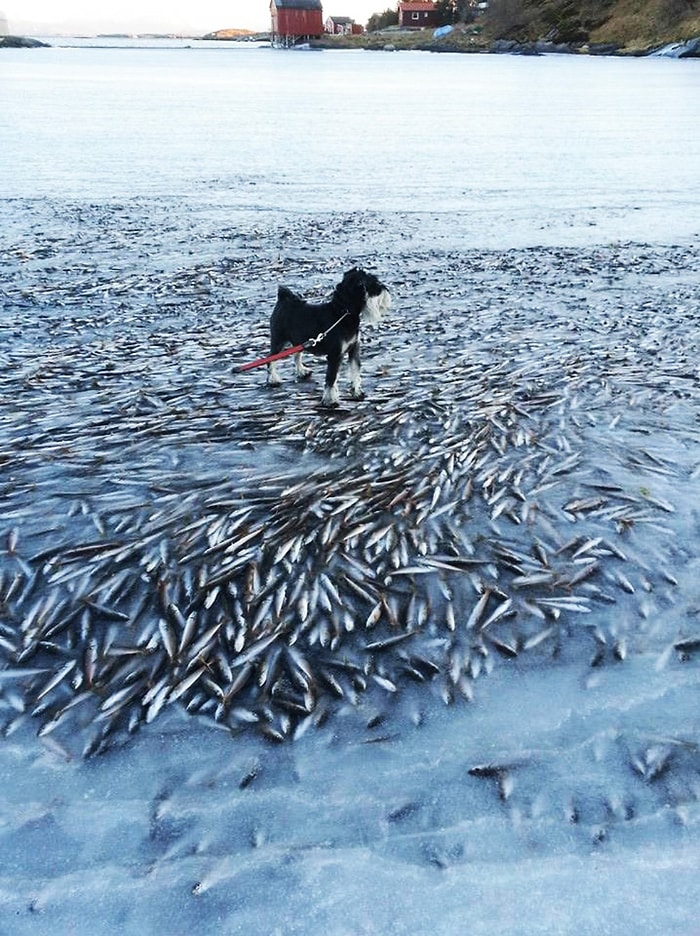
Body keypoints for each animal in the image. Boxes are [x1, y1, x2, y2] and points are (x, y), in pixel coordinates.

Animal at [266, 266, 392, 406]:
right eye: (374, 285)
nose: (386, 289)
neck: (342, 313)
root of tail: (283, 299)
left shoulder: (354, 349)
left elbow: (355, 371)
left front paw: (357, 391)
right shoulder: (335, 355)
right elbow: (331, 378)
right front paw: (330, 400)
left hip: (299, 341)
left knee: (297, 355)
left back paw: (302, 371)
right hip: (279, 341)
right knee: (270, 358)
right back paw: (273, 379)